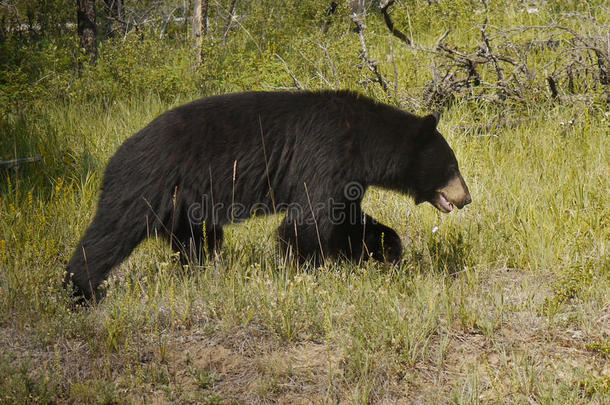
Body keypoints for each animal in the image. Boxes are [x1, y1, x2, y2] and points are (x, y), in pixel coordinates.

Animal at [63, 90, 470, 300]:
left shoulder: (347, 176)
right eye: (452, 165)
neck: (364, 140)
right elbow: (308, 221)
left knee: (198, 240)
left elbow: (348, 220)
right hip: (146, 185)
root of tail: (115, 156)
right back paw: (79, 289)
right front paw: (308, 271)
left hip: (184, 205)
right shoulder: (325, 154)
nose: (466, 198)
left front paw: (386, 249)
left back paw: (198, 273)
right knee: (111, 233)